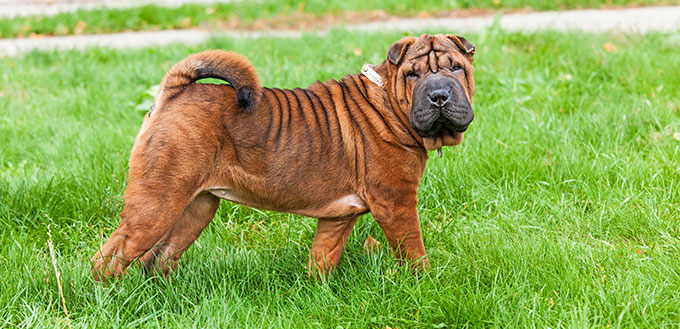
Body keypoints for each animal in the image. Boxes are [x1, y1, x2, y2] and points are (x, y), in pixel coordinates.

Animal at [90, 32, 476, 280]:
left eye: (456, 68)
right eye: (412, 74)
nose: (439, 96)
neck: (389, 104)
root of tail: (176, 92)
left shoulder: (338, 218)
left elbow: (323, 256)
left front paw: (317, 292)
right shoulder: (396, 203)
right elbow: (414, 251)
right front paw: (427, 284)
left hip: (196, 208)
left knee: (158, 259)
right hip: (156, 205)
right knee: (111, 256)